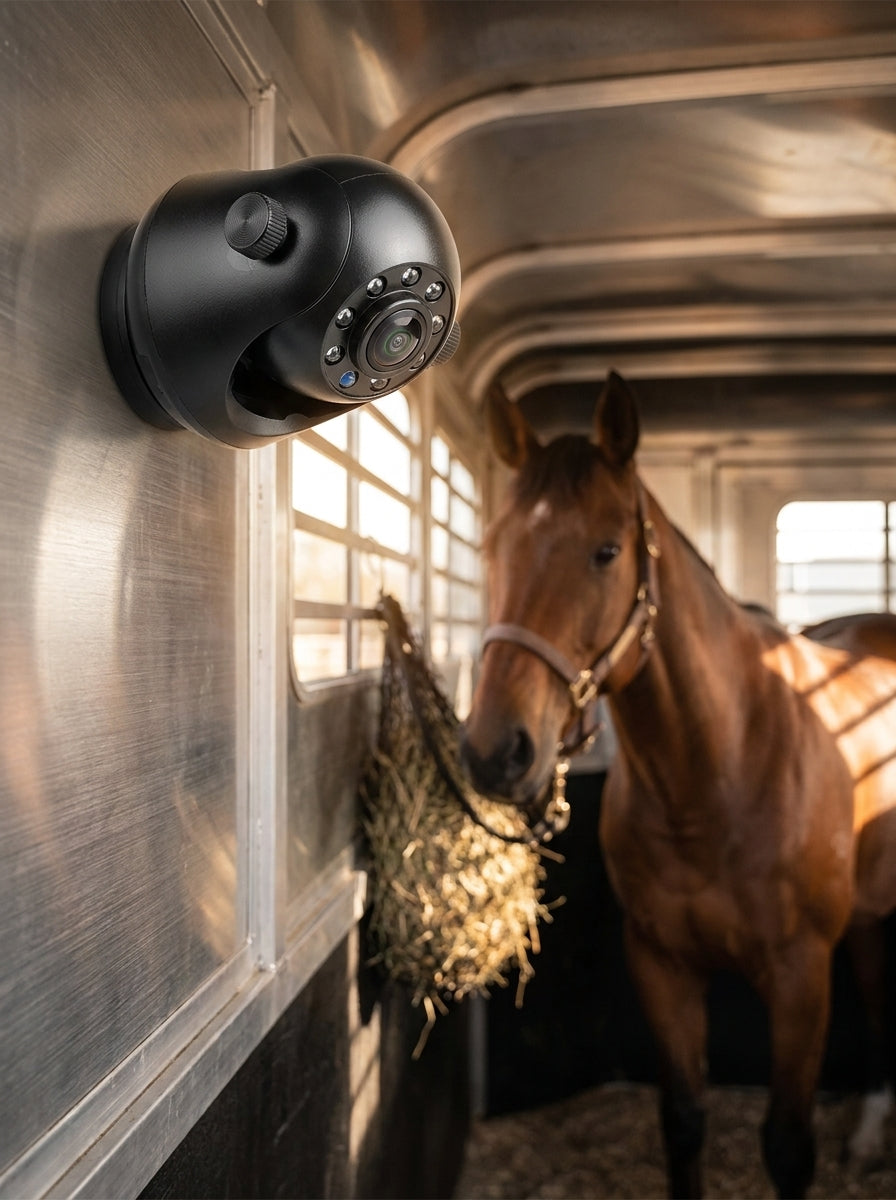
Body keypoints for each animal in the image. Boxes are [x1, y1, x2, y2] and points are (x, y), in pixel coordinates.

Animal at [460, 371, 896, 1199]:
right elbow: (684, 1120)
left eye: (606, 551)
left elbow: (788, 1144)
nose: (497, 752)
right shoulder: (660, 963)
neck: (717, 778)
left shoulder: (799, 977)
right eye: (491, 546)